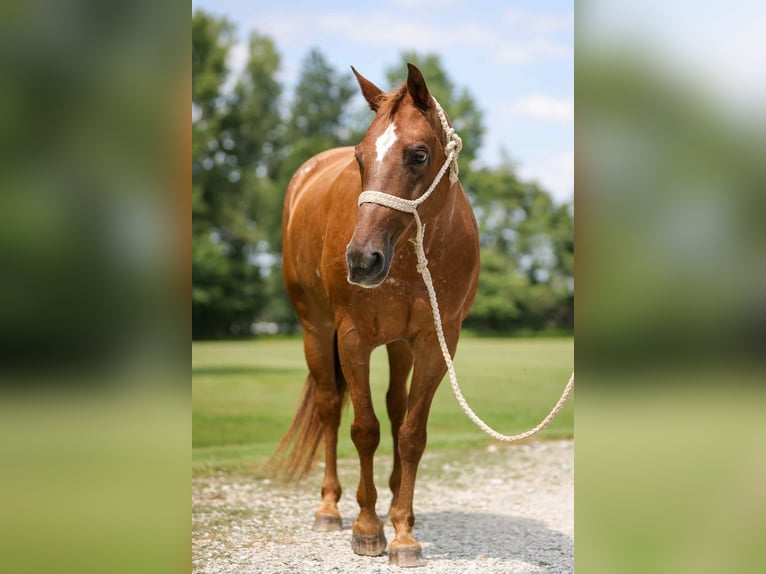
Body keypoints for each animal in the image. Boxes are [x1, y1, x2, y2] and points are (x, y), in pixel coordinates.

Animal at [273, 63, 480, 568]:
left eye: (418, 154)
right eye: (360, 157)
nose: (362, 260)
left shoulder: (435, 343)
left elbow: (410, 434)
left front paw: (403, 530)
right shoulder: (353, 339)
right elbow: (364, 429)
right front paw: (367, 529)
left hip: (399, 345)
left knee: (395, 406)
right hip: (316, 330)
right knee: (330, 408)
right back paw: (330, 508)